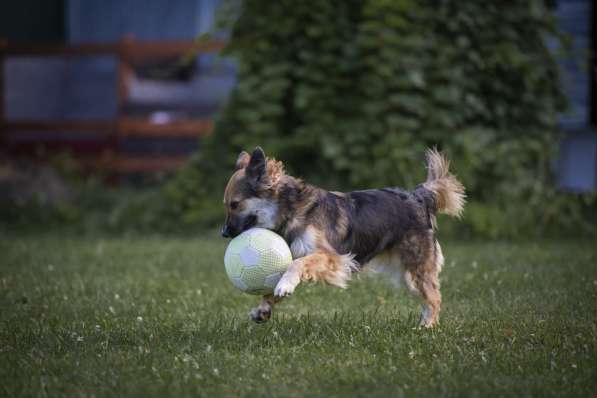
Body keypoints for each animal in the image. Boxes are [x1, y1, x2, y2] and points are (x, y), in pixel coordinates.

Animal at [221, 146, 464, 326]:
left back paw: (427, 327)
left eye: (234, 204)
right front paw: (263, 308)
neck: (291, 210)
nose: (223, 233)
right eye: (227, 205)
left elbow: (297, 264)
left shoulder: (332, 257)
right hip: (409, 274)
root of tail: (418, 196)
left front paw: (285, 285)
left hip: (415, 268)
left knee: (434, 298)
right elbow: (274, 283)